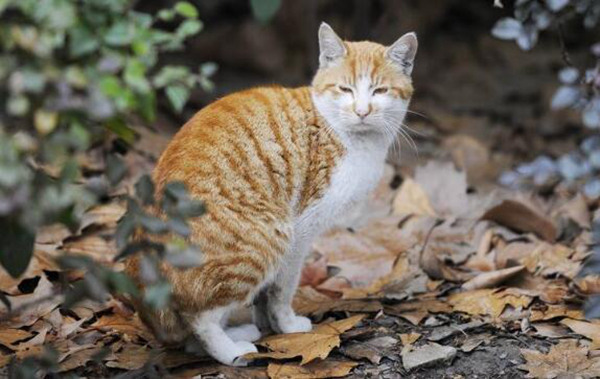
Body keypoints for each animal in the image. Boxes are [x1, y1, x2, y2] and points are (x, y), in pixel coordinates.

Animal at [125, 22, 418, 366]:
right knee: (201, 319)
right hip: (266, 239)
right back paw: (232, 351)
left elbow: (266, 294)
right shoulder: (301, 229)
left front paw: (268, 324)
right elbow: (282, 288)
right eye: (345, 90)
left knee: (190, 336)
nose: (362, 111)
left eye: (379, 91)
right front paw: (287, 325)